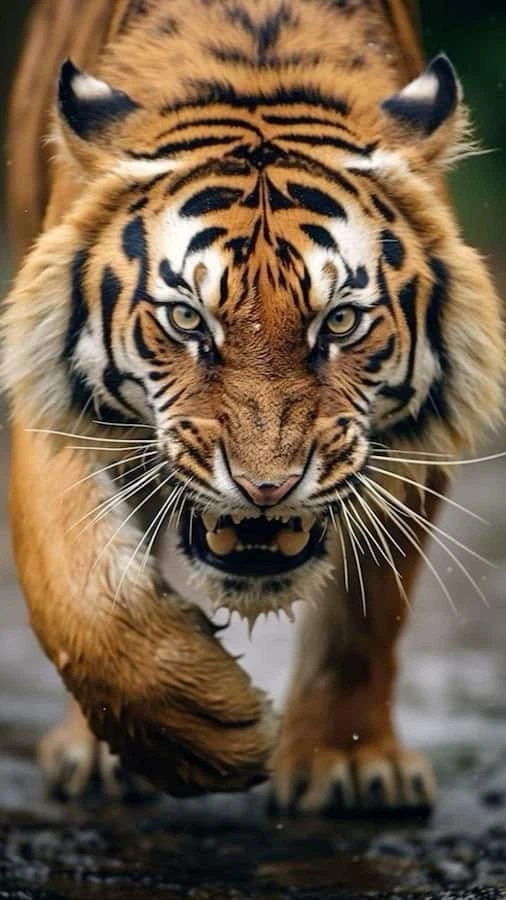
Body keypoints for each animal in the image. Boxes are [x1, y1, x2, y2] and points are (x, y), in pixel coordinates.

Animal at [1, 0, 503, 813]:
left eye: (340, 321)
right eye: (186, 319)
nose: (266, 487)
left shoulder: (408, 445)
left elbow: (369, 609)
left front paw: (347, 763)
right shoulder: (49, 406)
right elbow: (78, 594)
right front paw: (206, 734)